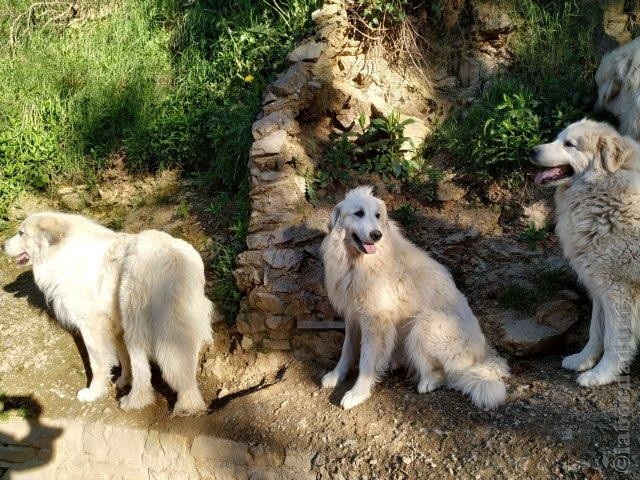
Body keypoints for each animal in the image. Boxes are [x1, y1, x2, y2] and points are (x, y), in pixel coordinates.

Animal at [3, 212, 214, 414]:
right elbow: (123, 358)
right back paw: (189, 401)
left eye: (21, 233)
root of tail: (172, 257)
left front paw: (94, 392)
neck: (62, 252)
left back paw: (134, 401)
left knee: (143, 368)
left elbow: (97, 364)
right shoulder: (114, 327)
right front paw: (123, 380)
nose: (3, 245)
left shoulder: (91, 324)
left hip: (135, 321)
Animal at [320, 187, 510, 408]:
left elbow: (366, 361)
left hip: (425, 323)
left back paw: (426, 382)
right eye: (358, 213)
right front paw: (336, 375)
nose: (377, 235)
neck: (358, 262)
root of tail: (484, 353)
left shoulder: (376, 321)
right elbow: (347, 350)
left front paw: (358, 392)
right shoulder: (353, 316)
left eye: (377, 216)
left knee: (449, 376)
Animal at [532, 120, 640, 386]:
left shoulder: (618, 289)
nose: (532, 151)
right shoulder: (598, 284)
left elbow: (614, 338)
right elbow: (596, 330)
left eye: (569, 144)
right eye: (557, 138)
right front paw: (583, 360)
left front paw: (602, 374)